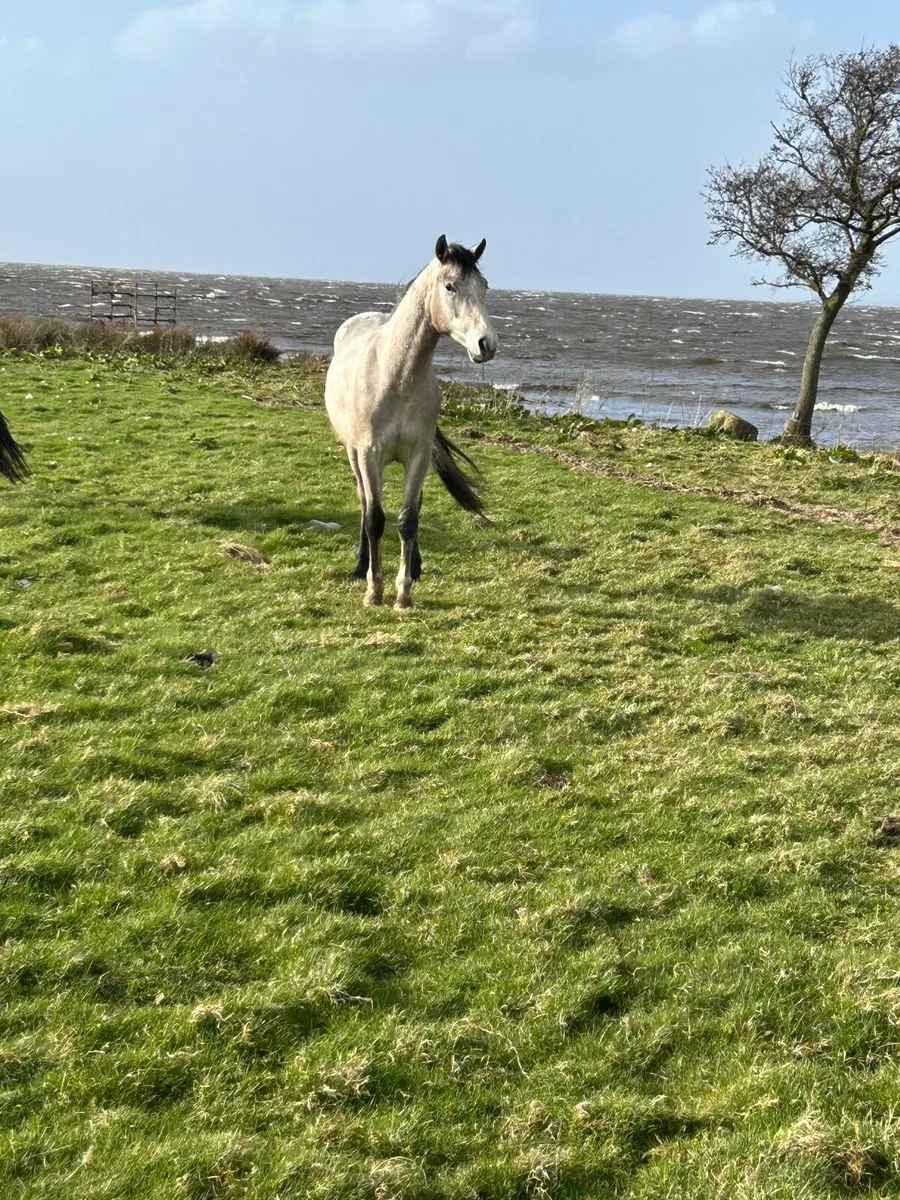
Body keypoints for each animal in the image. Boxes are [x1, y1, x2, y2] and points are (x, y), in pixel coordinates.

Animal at [325, 234, 498, 609]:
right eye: (450, 286)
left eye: (484, 286)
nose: (486, 344)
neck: (396, 375)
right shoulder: (369, 454)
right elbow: (375, 519)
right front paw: (374, 591)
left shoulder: (419, 455)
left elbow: (409, 519)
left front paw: (403, 593)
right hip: (352, 453)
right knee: (363, 503)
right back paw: (360, 565)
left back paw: (415, 567)